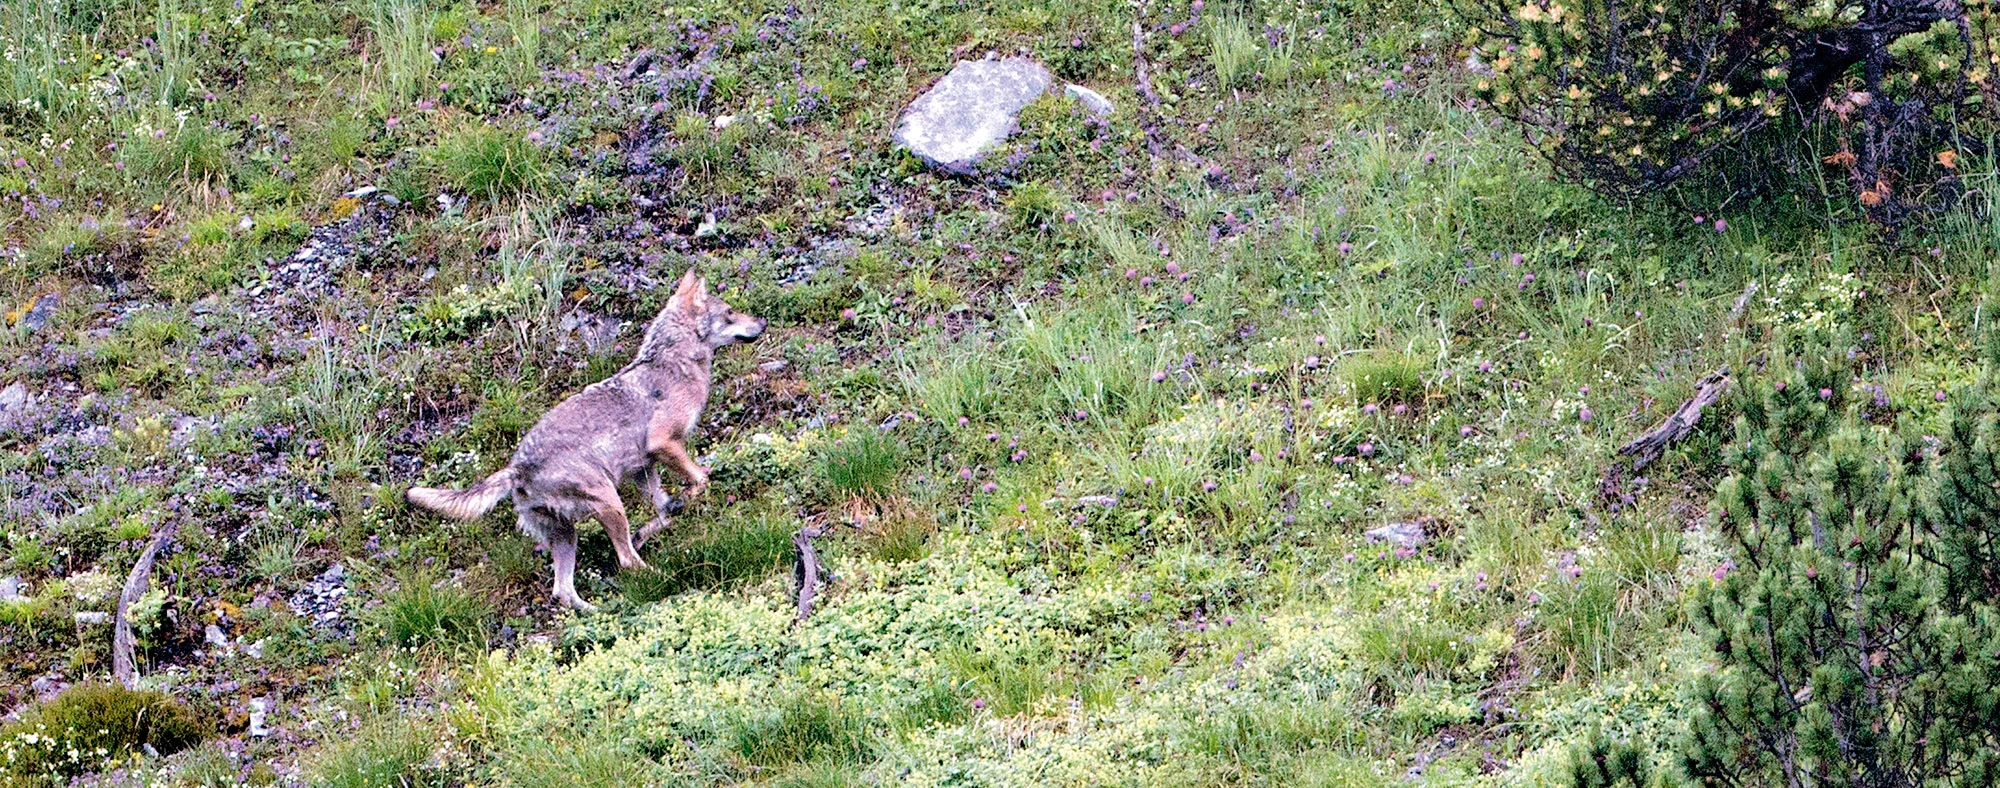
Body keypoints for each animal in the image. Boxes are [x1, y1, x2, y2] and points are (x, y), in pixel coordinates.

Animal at [404, 270, 764, 608]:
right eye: (730, 312)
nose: (762, 322)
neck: (674, 364)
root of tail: (517, 468)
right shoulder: (663, 444)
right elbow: (700, 481)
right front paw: (680, 504)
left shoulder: (643, 469)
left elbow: (664, 510)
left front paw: (658, 522)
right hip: (610, 504)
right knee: (627, 562)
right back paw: (666, 583)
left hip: (568, 534)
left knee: (563, 591)